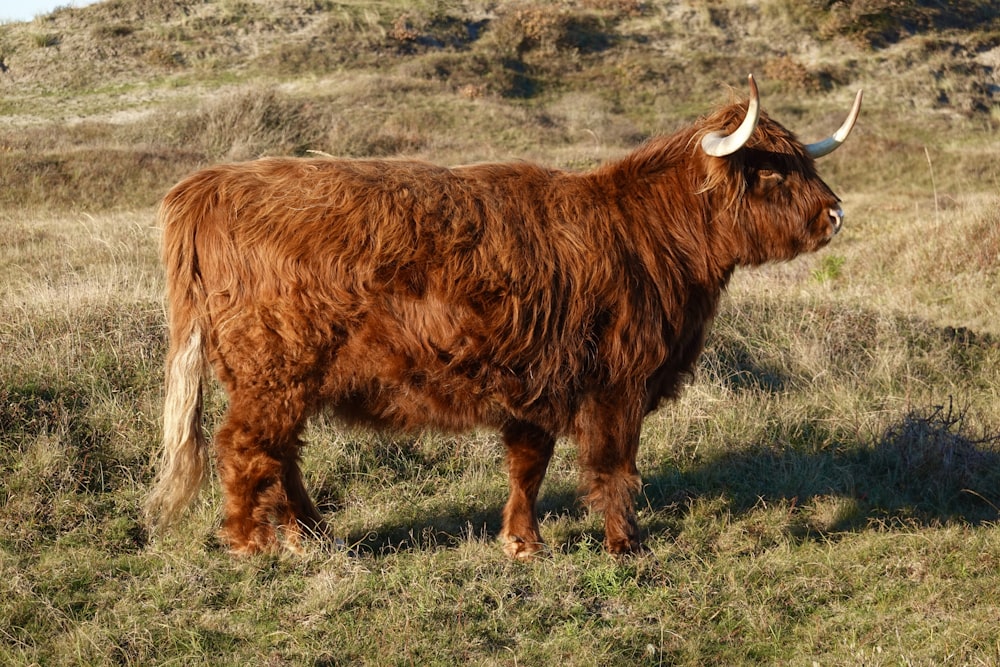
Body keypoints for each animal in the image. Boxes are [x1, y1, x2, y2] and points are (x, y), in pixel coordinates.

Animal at [146, 75, 860, 560]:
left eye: (806, 160)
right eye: (771, 171)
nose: (834, 214)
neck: (651, 233)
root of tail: (207, 185)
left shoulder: (539, 377)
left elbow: (528, 463)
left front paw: (523, 542)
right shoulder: (618, 383)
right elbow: (613, 466)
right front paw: (626, 545)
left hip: (288, 381)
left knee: (281, 452)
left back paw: (313, 535)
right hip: (274, 372)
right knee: (244, 446)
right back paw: (253, 543)